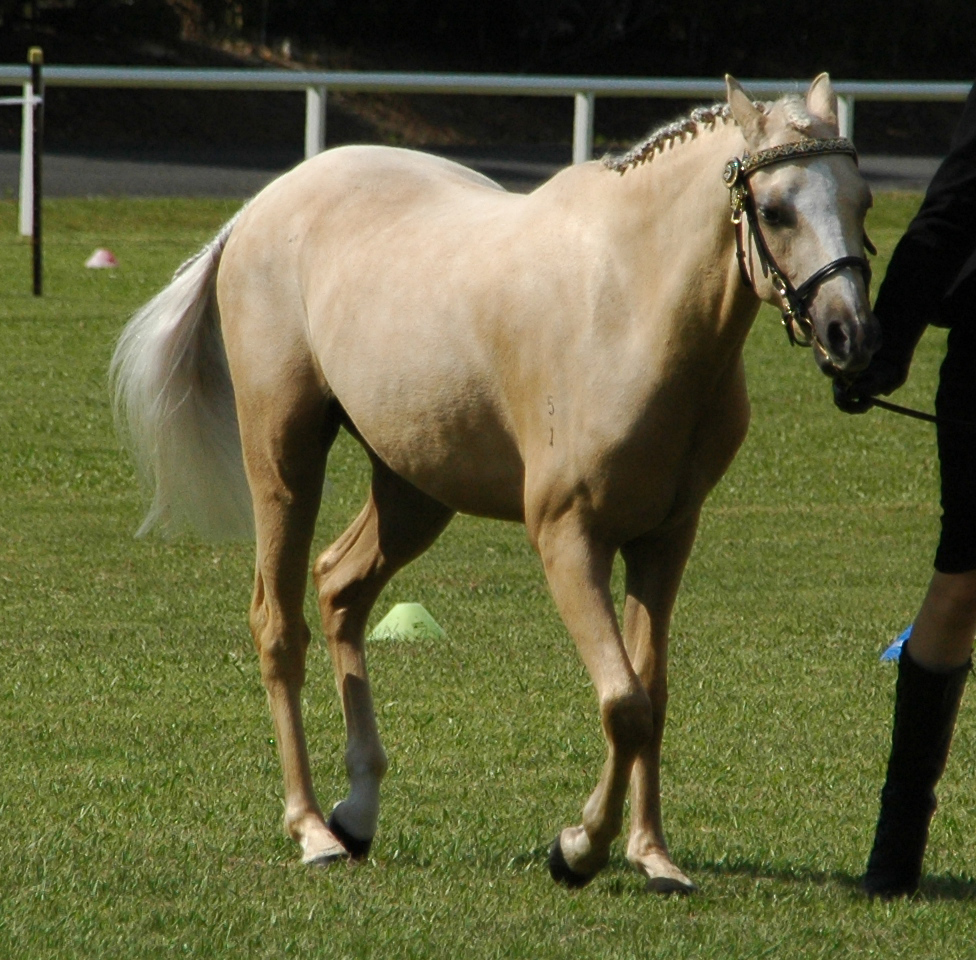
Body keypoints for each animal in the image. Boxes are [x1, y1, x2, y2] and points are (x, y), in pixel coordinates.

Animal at [112, 75, 876, 892]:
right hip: (284, 461)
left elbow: (654, 694)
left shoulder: (665, 539)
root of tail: (262, 207)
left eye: (862, 200)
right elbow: (624, 703)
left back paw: (358, 811)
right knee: (278, 625)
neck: (630, 307)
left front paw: (653, 854)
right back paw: (313, 829)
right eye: (776, 209)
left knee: (341, 589)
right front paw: (578, 847)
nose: (850, 334)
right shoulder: (568, 538)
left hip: (413, 490)